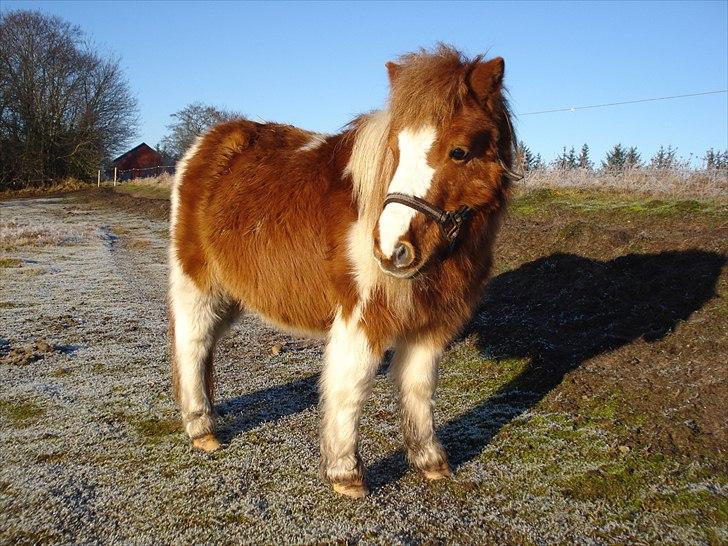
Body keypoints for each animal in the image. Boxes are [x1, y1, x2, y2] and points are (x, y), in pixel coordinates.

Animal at [168, 45, 516, 498]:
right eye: (396, 149)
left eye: (459, 152)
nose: (391, 250)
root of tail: (205, 144)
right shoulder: (361, 316)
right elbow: (350, 389)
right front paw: (345, 474)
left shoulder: (432, 322)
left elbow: (419, 387)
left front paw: (430, 462)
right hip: (198, 284)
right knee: (192, 345)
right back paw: (202, 431)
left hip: (231, 295)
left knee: (207, 344)